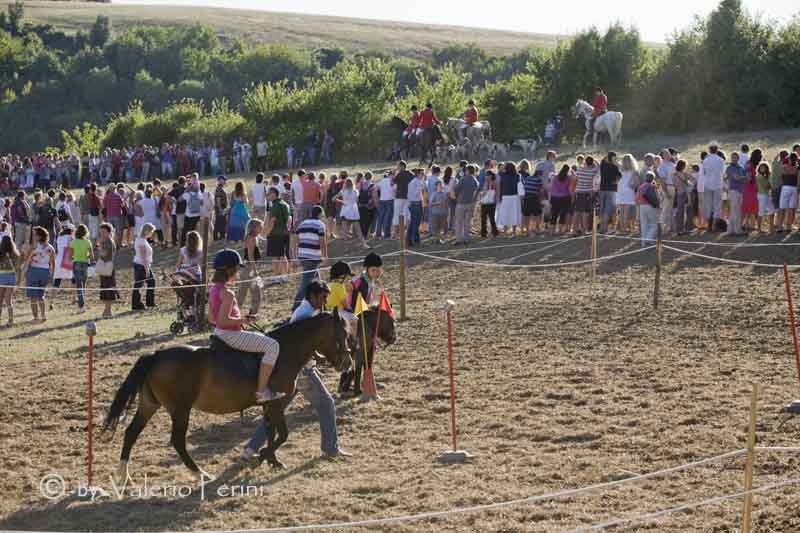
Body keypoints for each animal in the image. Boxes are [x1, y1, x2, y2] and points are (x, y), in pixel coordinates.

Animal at [101, 310, 352, 480]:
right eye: (342, 334)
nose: (347, 363)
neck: (284, 351)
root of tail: (156, 355)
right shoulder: (276, 403)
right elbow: (282, 434)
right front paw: (261, 456)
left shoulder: (269, 404)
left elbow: (271, 431)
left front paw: (272, 460)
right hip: (180, 410)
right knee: (177, 441)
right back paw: (200, 474)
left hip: (149, 405)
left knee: (131, 433)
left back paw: (123, 476)